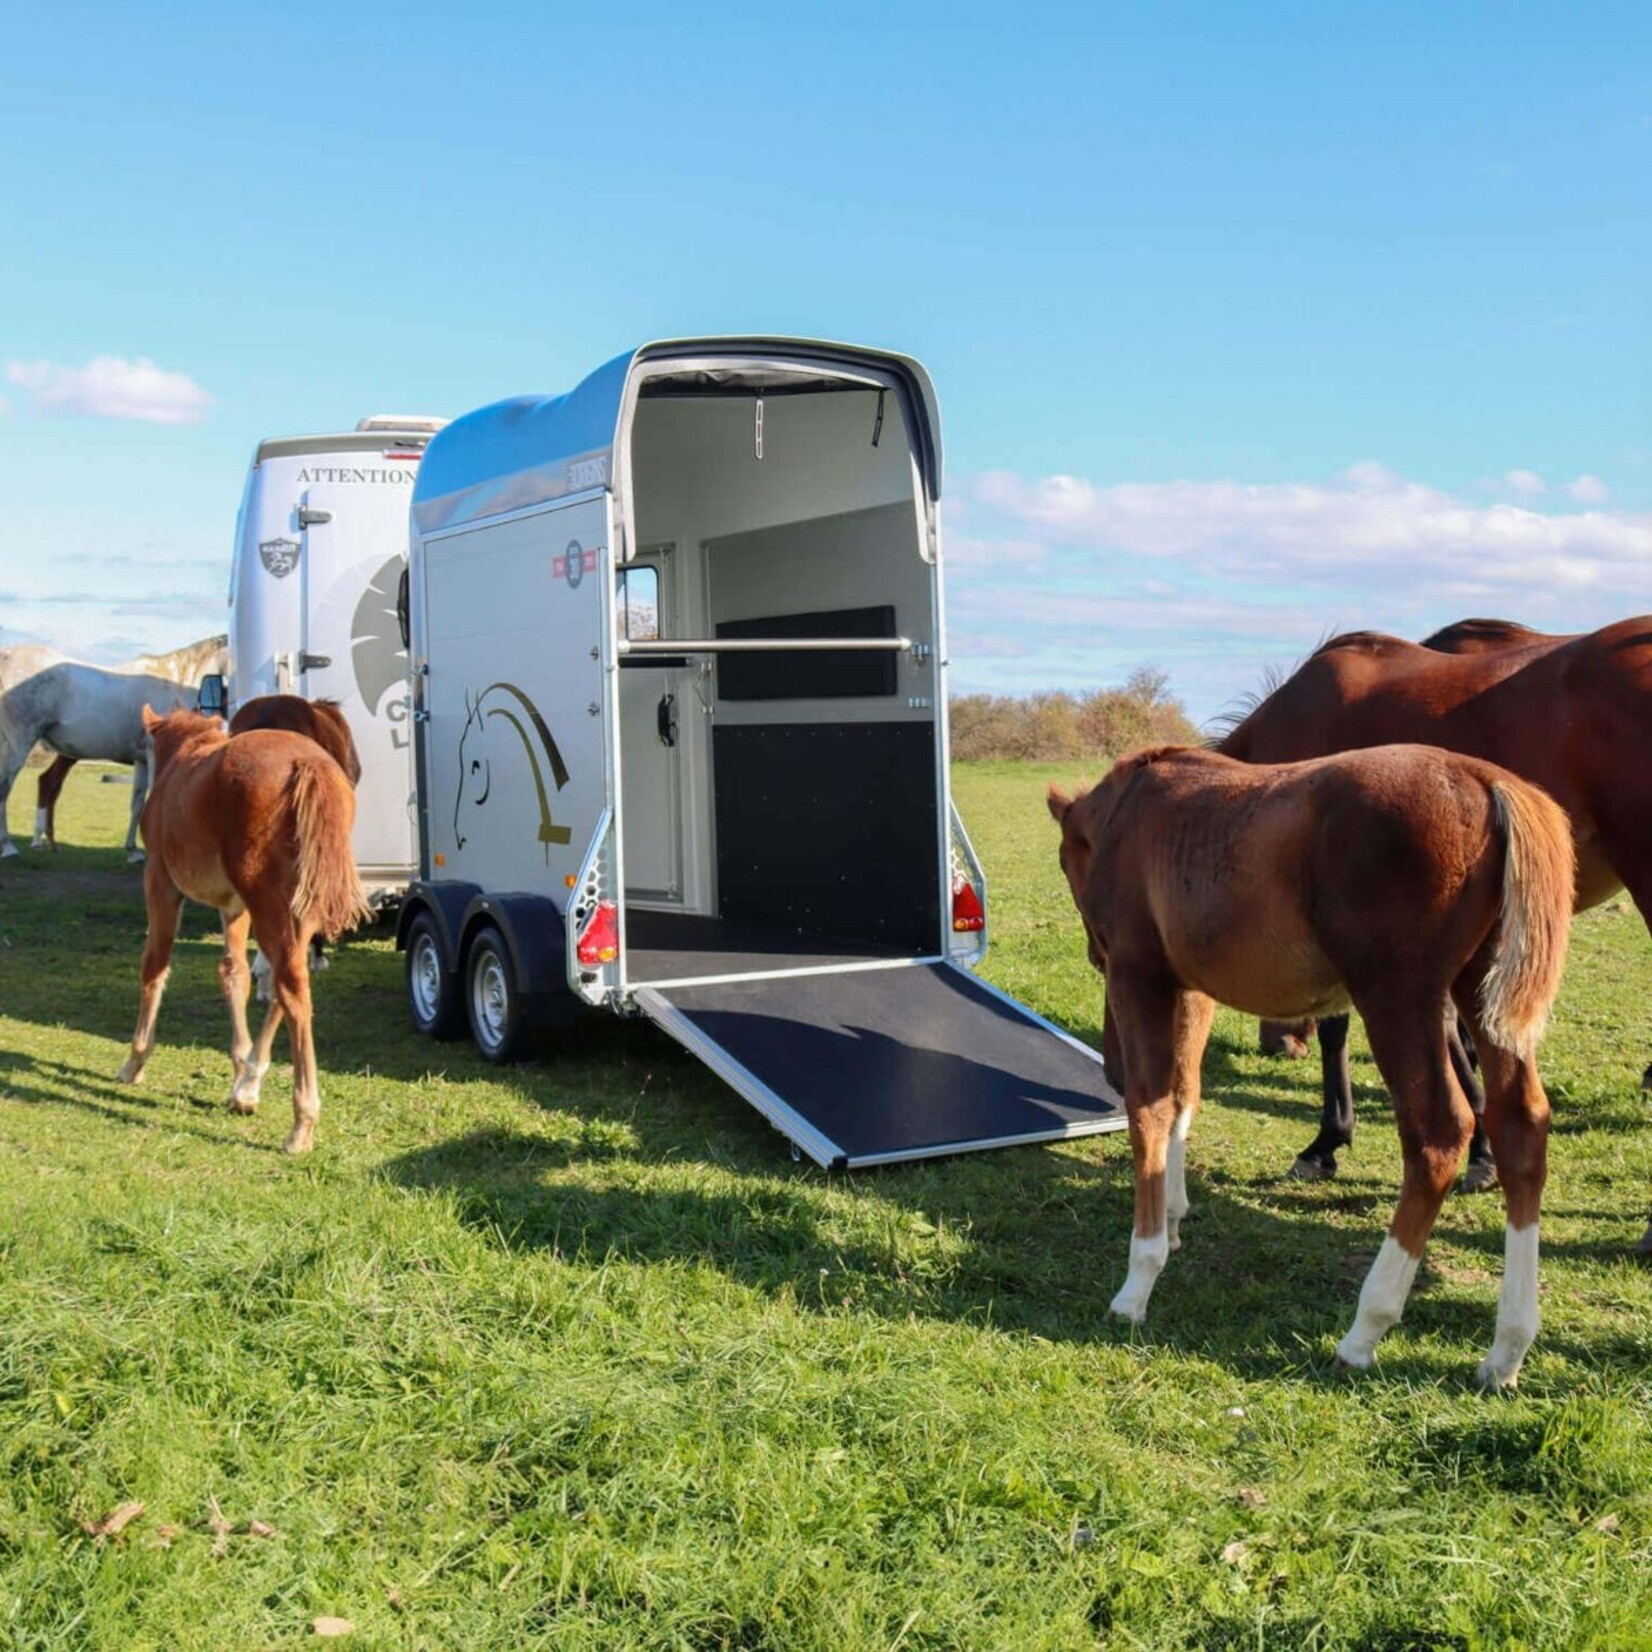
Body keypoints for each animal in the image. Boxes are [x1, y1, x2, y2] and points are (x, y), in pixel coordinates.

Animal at [115, 706, 370, 1154]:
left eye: (144, 744)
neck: (183, 758)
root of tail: (310, 762)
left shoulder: (160, 882)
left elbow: (155, 964)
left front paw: (135, 1060)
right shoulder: (234, 907)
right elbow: (233, 974)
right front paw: (239, 1070)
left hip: (268, 904)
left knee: (293, 990)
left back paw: (301, 1122)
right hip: (295, 908)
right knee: (284, 986)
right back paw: (249, 1084)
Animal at [1048, 742, 1574, 1388]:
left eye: (1064, 861)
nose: (1092, 952)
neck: (1130, 810)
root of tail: (1485, 780)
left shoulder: (1138, 973)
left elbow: (1149, 1106)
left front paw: (1138, 1282)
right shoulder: (1189, 986)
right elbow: (1183, 1096)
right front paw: (1172, 1220)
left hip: (1398, 995)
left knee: (1439, 1133)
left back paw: (1365, 1330)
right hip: (1481, 993)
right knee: (1521, 1127)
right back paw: (1506, 1351)